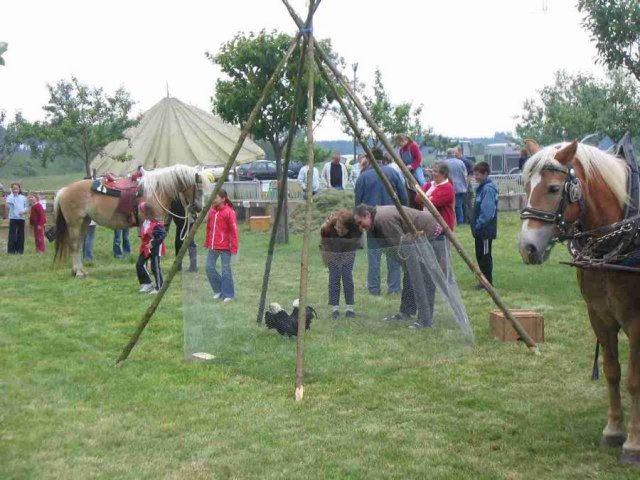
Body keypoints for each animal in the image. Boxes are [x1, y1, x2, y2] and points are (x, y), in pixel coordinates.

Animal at [53, 165, 208, 278]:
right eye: (199, 189)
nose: (199, 208)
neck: (157, 189)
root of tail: (64, 190)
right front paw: (149, 269)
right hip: (74, 224)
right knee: (74, 246)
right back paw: (78, 272)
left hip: (84, 223)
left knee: (78, 245)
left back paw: (80, 271)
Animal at [520, 139, 640, 464]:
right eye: (526, 185)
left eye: (552, 188)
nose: (527, 248)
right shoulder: (599, 315)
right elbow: (612, 371)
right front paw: (613, 430)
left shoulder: (637, 322)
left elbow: (634, 380)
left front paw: (633, 444)